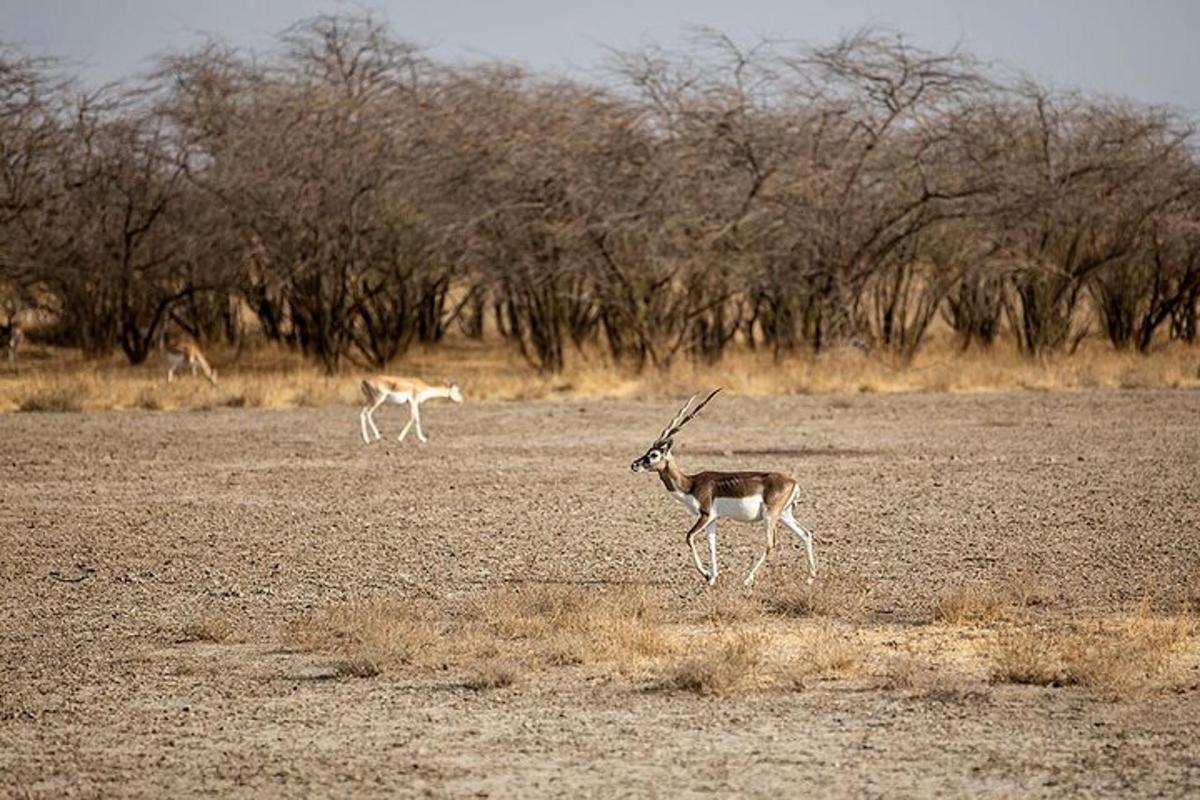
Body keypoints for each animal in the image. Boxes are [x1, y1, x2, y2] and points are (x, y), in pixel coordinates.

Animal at [628, 388, 816, 587]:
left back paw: (747, 579)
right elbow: (712, 546)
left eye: (654, 454)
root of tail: (793, 482)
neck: (690, 484)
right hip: (785, 515)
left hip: (770, 516)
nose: (634, 465)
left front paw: (705, 574)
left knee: (770, 543)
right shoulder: (712, 519)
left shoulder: (705, 515)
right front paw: (712, 577)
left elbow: (689, 537)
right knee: (806, 534)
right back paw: (810, 578)